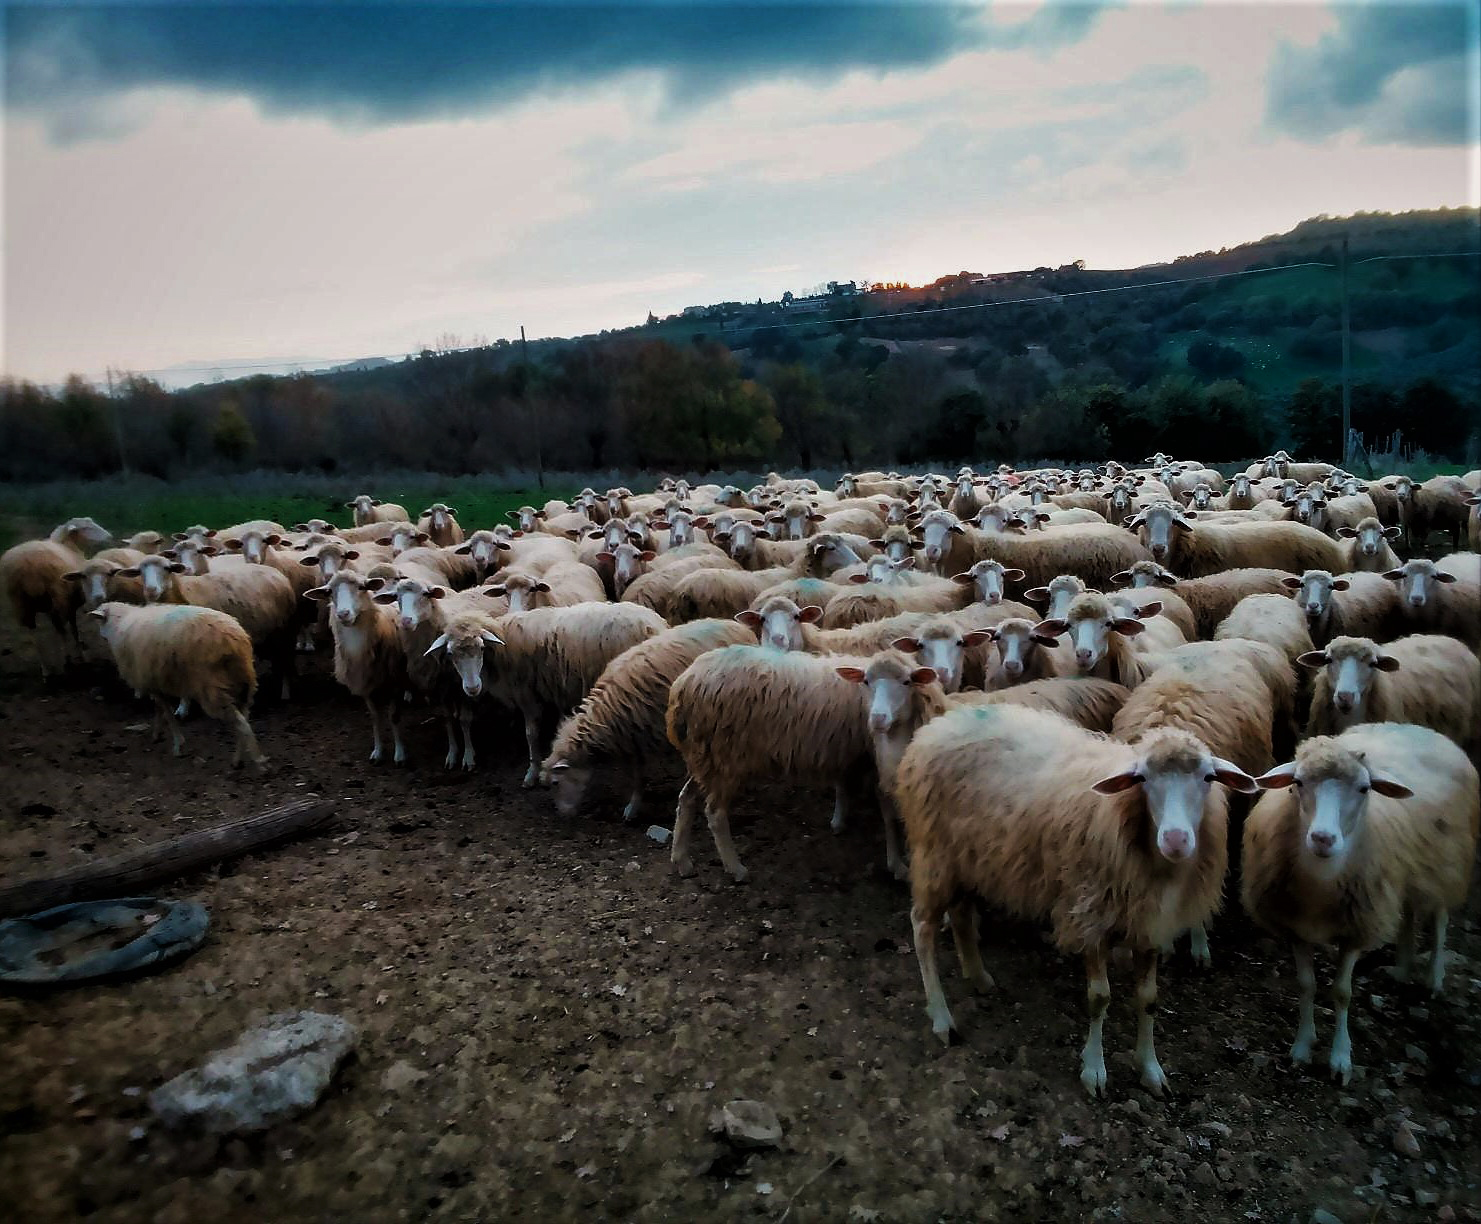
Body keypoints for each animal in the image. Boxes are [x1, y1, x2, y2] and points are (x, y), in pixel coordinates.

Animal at [894, 702, 1255, 1090]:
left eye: (1208, 778)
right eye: (1142, 779)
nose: (1175, 839)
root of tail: (938, 725)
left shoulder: (1149, 925)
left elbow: (1148, 999)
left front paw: (1150, 1067)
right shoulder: (1089, 915)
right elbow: (1099, 998)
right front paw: (1094, 1069)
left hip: (970, 860)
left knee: (961, 915)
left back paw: (978, 978)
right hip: (935, 856)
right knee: (922, 928)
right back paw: (942, 1018)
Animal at [1238, 726, 1481, 1078]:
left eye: (1364, 788)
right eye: (1298, 782)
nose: (1323, 839)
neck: (1320, 885)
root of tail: (1418, 728)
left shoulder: (1358, 930)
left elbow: (1342, 993)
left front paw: (1340, 1059)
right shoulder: (1296, 928)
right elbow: (1306, 985)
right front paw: (1302, 1046)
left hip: (1445, 865)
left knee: (1439, 920)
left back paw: (1434, 978)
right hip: (1406, 872)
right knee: (1408, 914)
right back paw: (1402, 968)